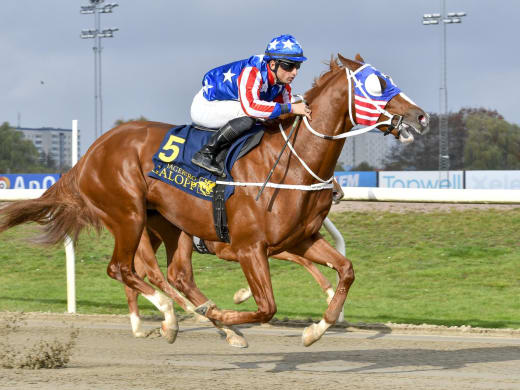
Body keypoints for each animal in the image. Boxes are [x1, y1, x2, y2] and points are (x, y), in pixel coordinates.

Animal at [0, 54, 428, 348]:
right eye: (378, 83)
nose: (421, 117)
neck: (290, 166)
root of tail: (89, 154)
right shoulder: (250, 247)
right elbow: (267, 305)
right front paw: (226, 312)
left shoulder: (300, 239)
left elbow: (346, 270)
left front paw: (316, 329)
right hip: (128, 215)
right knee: (125, 269)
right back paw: (169, 318)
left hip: (169, 225)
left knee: (176, 274)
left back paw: (205, 323)